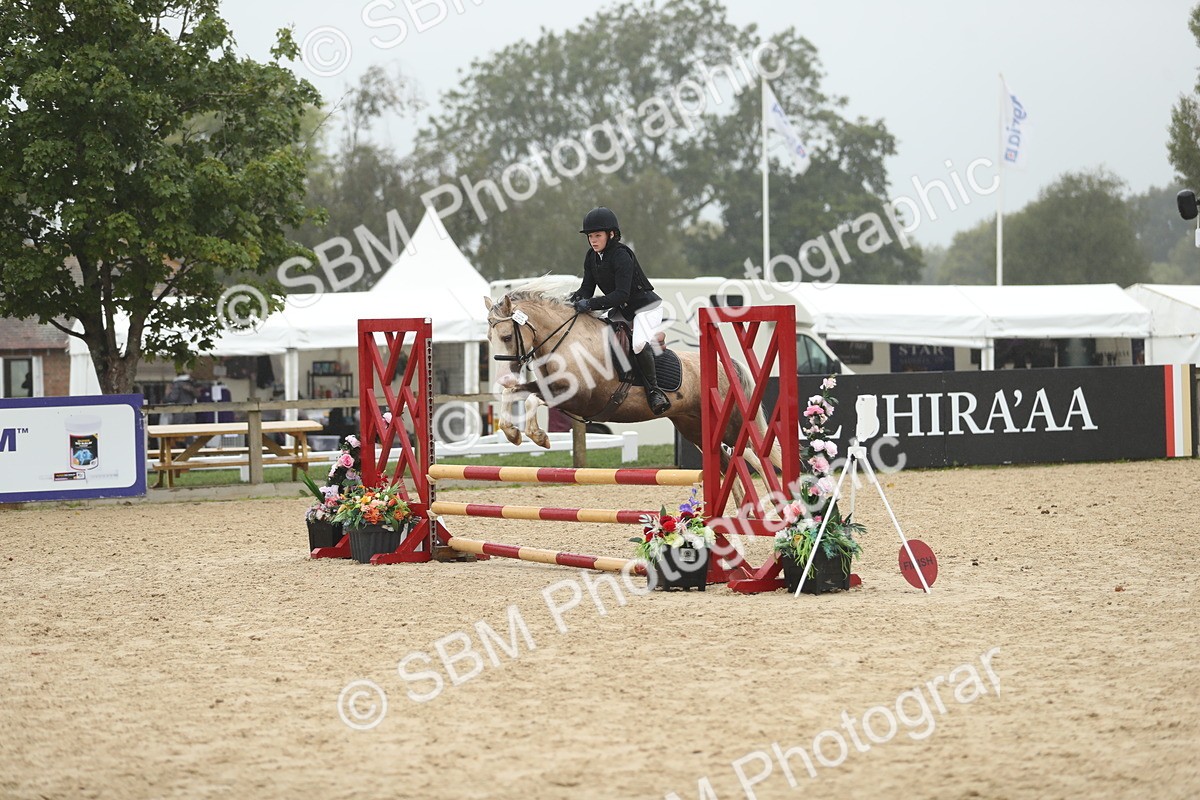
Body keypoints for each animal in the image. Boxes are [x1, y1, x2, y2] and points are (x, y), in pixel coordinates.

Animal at [484, 288, 782, 509]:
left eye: (507, 336)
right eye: (489, 338)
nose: (504, 378)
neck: (568, 341)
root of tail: (725, 364)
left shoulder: (579, 398)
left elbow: (532, 401)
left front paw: (538, 436)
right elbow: (515, 394)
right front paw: (512, 433)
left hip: (731, 425)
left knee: (757, 455)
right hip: (695, 428)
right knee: (729, 462)